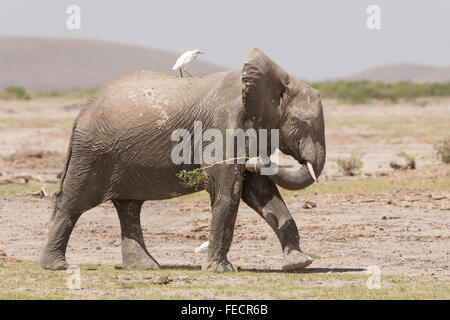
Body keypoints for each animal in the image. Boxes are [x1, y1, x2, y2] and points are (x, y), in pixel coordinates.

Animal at [39, 48, 326, 272]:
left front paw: (298, 263)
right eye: (305, 124)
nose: (254, 160)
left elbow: (260, 191)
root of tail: (80, 113)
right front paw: (221, 271)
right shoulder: (222, 126)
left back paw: (145, 267)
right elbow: (228, 191)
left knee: (129, 207)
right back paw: (57, 266)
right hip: (92, 152)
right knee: (74, 202)